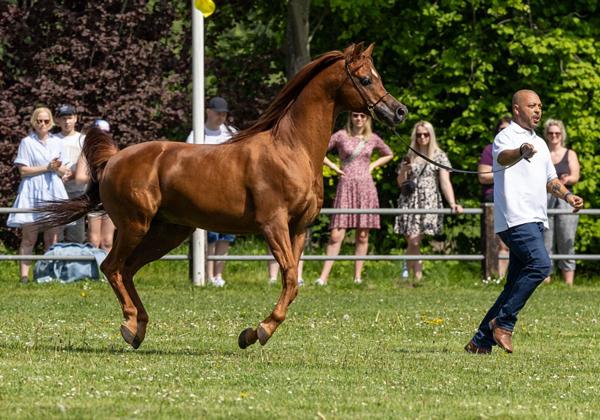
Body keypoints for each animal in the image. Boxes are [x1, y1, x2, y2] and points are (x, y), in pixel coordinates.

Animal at [39, 43, 408, 352]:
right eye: (365, 78)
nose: (399, 111)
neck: (292, 149)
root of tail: (114, 159)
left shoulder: (298, 229)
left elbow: (293, 282)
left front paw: (252, 333)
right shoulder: (273, 225)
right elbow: (290, 277)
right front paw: (259, 331)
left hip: (168, 232)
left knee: (127, 269)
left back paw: (140, 327)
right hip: (135, 225)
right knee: (112, 267)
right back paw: (130, 326)